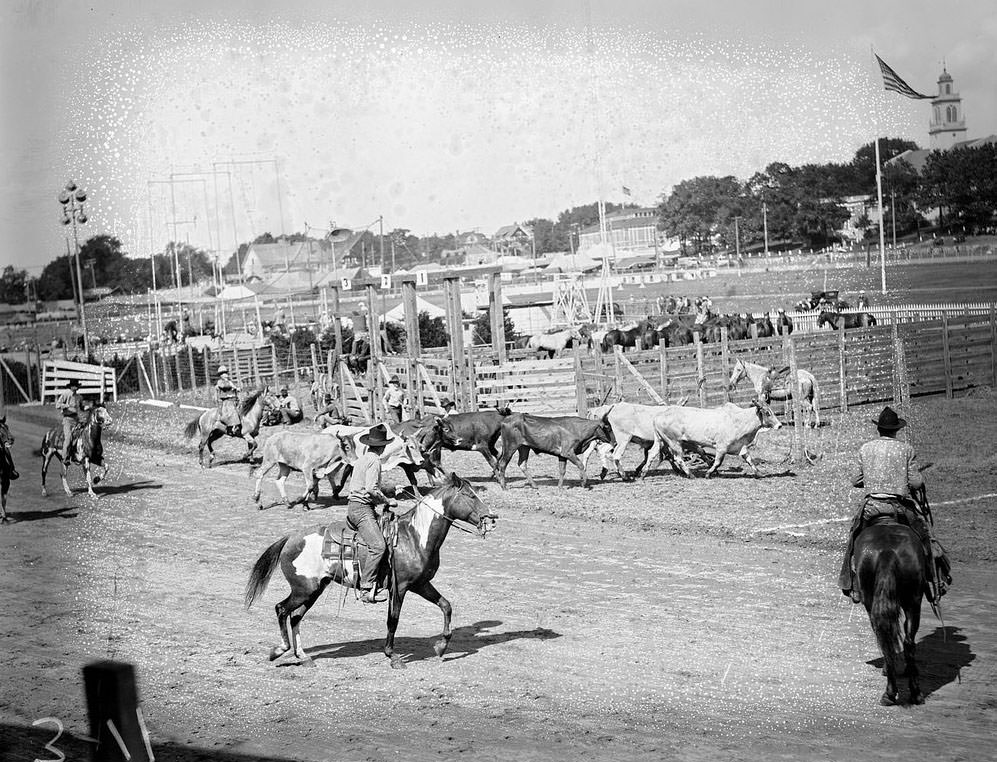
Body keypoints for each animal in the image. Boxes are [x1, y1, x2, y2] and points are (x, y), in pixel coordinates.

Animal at [244, 472, 498, 668]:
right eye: (469, 495)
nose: (491, 517)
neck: (414, 537)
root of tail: (290, 538)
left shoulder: (420, 584)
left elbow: (446, 606)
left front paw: (442, 646)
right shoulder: (400, 587)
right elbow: (393, 620)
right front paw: (393, 656)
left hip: (314, 589)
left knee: (295, 616)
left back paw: (303, 657)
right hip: (303, 589)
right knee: (282, 609)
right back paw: (279, 650)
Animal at [848, 520, 924, 704]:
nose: (854, 594)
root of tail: (888, 552)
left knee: (887, 639)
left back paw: (891, 692)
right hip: (913, 602)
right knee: (907, 642)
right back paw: (914, 692)